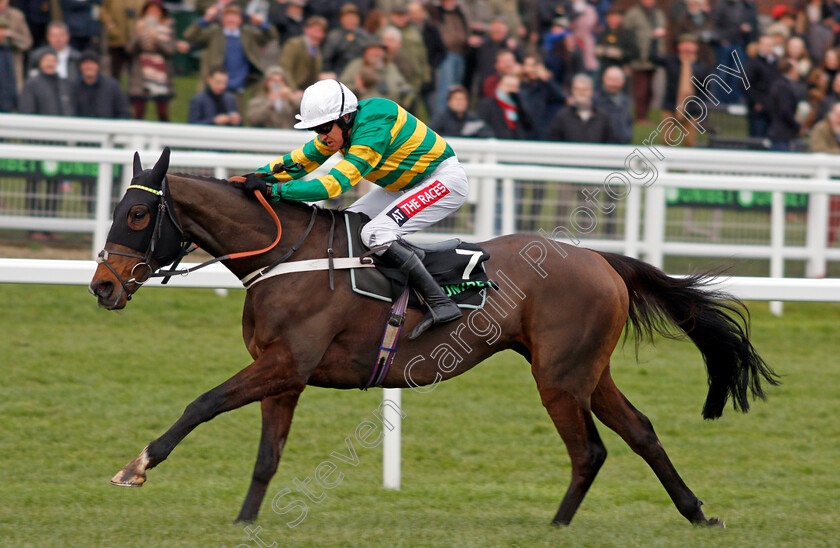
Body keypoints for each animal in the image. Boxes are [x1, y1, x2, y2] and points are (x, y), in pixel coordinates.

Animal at [88, 149, 776, 528]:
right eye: (119, 209)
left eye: (139, 214)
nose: (102, 286)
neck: (286, 256)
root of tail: (602, 260)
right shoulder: (284, 375)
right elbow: (266, 457)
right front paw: (246, 519)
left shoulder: (286, 363)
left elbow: (201, 403)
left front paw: (136, 466)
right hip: (587, 371)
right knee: (639, 433)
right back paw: (696, 512)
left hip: (559, 377)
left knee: (590, 451)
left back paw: (557, 526)